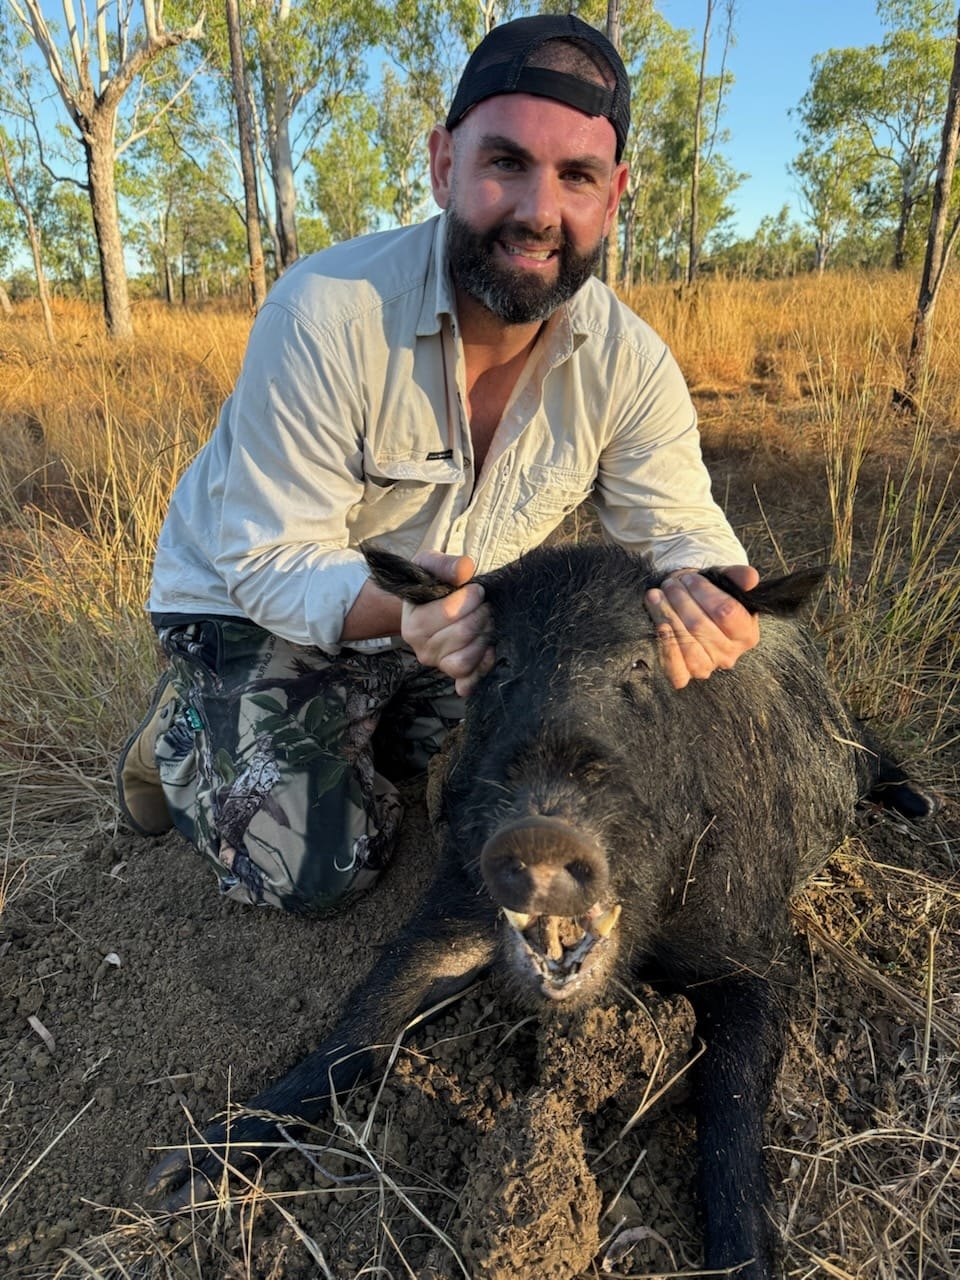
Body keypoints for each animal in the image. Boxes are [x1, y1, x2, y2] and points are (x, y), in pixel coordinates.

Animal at [147, 543, 934, 1278]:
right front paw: (175, 1180)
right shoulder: (458, 901)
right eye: (501, 664)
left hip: (848, 754)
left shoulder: (752, 948)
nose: (542, 832)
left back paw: (921, 805)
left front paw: (745, 1265)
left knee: (872, 752)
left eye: (642, 667)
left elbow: (734, 1111)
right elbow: (365, 1021)